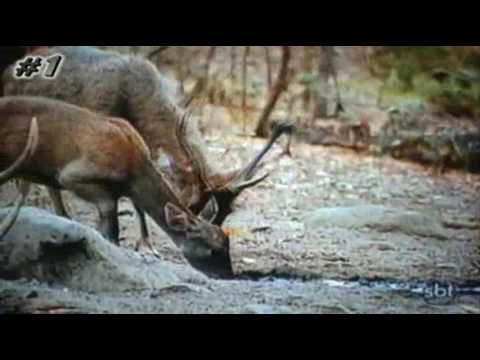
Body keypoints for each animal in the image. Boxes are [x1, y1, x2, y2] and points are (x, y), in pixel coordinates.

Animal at [0, 97, 231, 258]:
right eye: (209, 246)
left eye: (224, 240)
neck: (133, 168)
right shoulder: (72, 174)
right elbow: (110, 221)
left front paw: (146, 248)